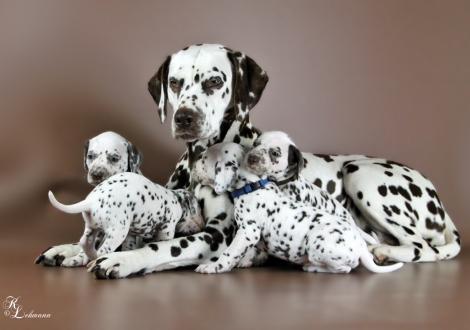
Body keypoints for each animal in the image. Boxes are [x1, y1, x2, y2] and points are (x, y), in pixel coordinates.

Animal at [46, 171, 205, 270]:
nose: (204, 224)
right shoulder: (167, 227)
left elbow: (129, 247)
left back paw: (91, 255)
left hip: (92, 228)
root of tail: (91, 200)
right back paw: (98, 259)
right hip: (117, 232)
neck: (176, 200)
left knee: (85, 242)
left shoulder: (131, 234)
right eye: (198, 208)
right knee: (102, 250)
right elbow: (163, 239)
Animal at [192, 143, 404, 274]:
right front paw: (245, 261)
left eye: (204, 159)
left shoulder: (248, 231)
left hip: (317, 245)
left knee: (344, 269)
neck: (254, 185)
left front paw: (214, 267)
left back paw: (312, 267)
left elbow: (230, 252)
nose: (192, 166)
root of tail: (361, 247)